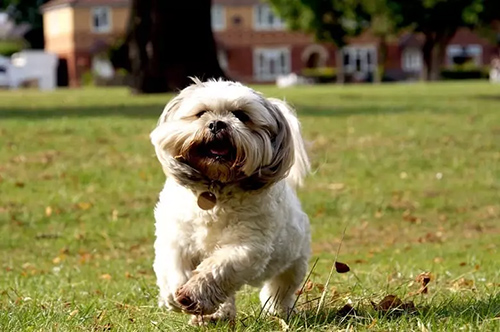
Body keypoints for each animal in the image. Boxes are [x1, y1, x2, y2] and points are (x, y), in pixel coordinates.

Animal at [150, 77, 310, 324]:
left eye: (241, 115)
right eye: (201, 113)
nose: (217, 124)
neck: (216, 190)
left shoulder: (247, 246)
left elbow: (219, 268)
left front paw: (194, 293)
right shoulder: (176, 239)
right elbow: (175, 268)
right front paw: (174, 296)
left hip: (293, 263)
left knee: (280, 288)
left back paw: (276, 309)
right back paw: (216, 314)